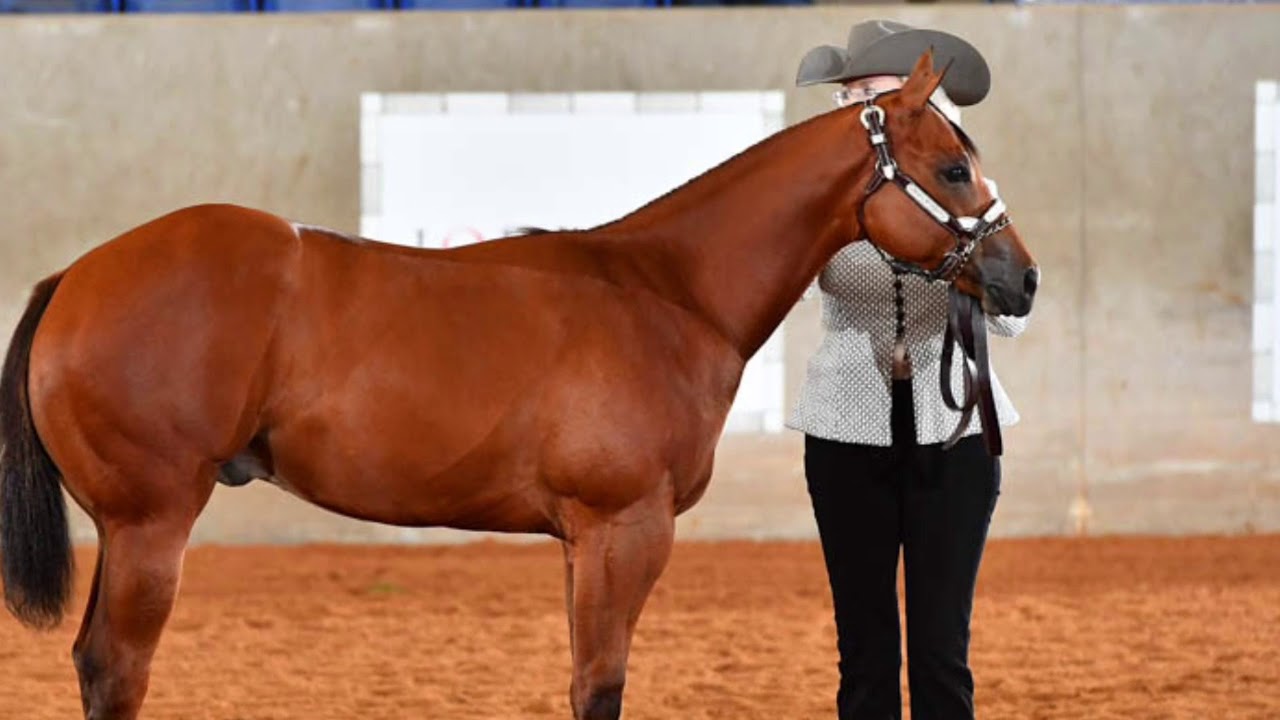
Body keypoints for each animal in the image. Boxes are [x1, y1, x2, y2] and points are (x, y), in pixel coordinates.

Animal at [0, 53, 1034, 717]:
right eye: (953, 166)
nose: (1021, 280)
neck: (670, 291)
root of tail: (79, 275)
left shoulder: (584, 541)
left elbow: (584, 680)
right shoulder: (625, 528)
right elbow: (601, 687)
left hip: (126, 528)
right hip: (151, 523)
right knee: (117, 670)